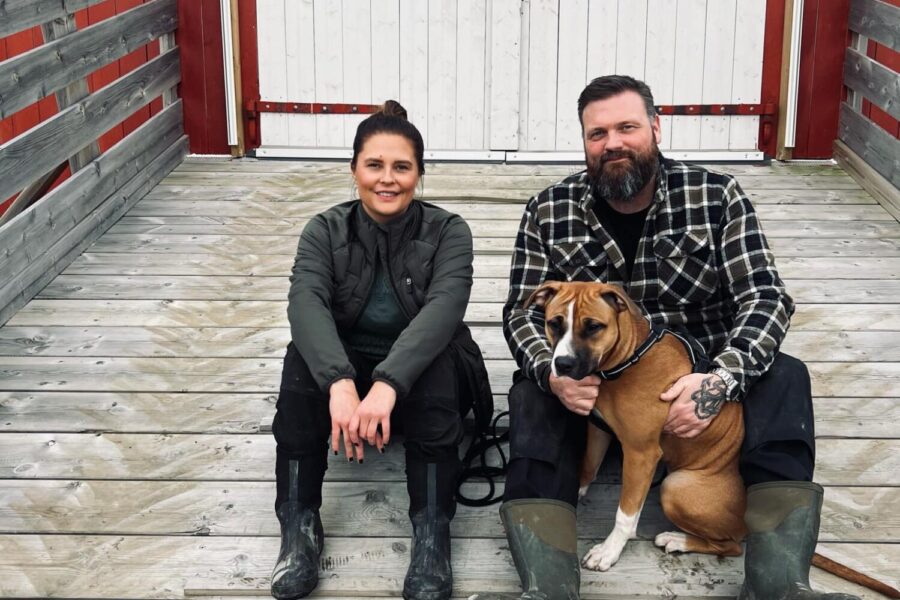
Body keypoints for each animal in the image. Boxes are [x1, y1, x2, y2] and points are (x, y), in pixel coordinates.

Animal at [525, 280, 746, 572]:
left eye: (593, 326)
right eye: (554, 323)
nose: (562, 364)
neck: (627, 360)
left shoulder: (640, 454)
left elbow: (626, 514)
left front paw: (608, 551)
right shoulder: (599, 429)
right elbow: (589, 464)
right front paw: (578, 489)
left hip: (676, 486)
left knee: (731, 546)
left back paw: (678, 539)